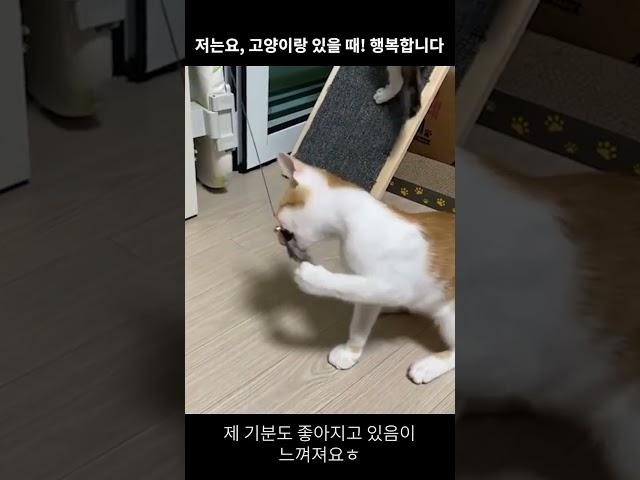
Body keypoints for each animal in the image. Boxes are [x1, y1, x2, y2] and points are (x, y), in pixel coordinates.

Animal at [275, 152, 455, 384]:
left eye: (282, 226)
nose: (279, 238)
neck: (355, 219)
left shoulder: (396, 285)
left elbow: (346, 285)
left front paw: (312, 277)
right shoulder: (367, 285)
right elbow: (360, 321)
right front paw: (351, 352)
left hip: (450, 314)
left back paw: (428, 366)